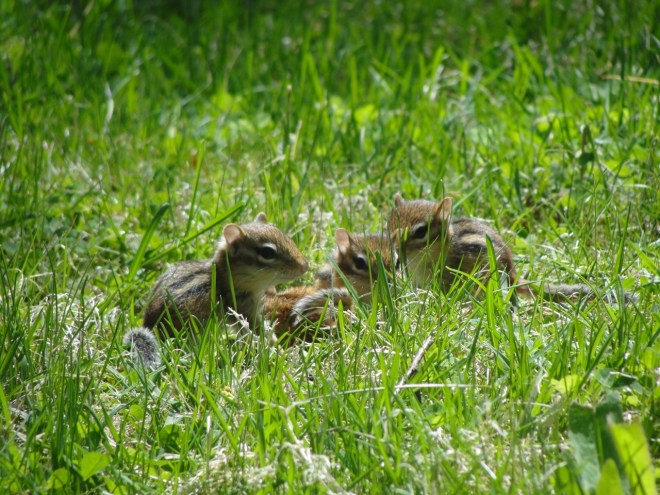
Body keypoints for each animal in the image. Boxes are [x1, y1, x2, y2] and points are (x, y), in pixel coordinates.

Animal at [123, 212, 308, 368]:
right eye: (268, 252)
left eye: (288, 238)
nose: (305, 266)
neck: (223, 277)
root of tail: (148, 326)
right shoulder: (241, 307)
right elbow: (258, 331)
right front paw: (282, 352)